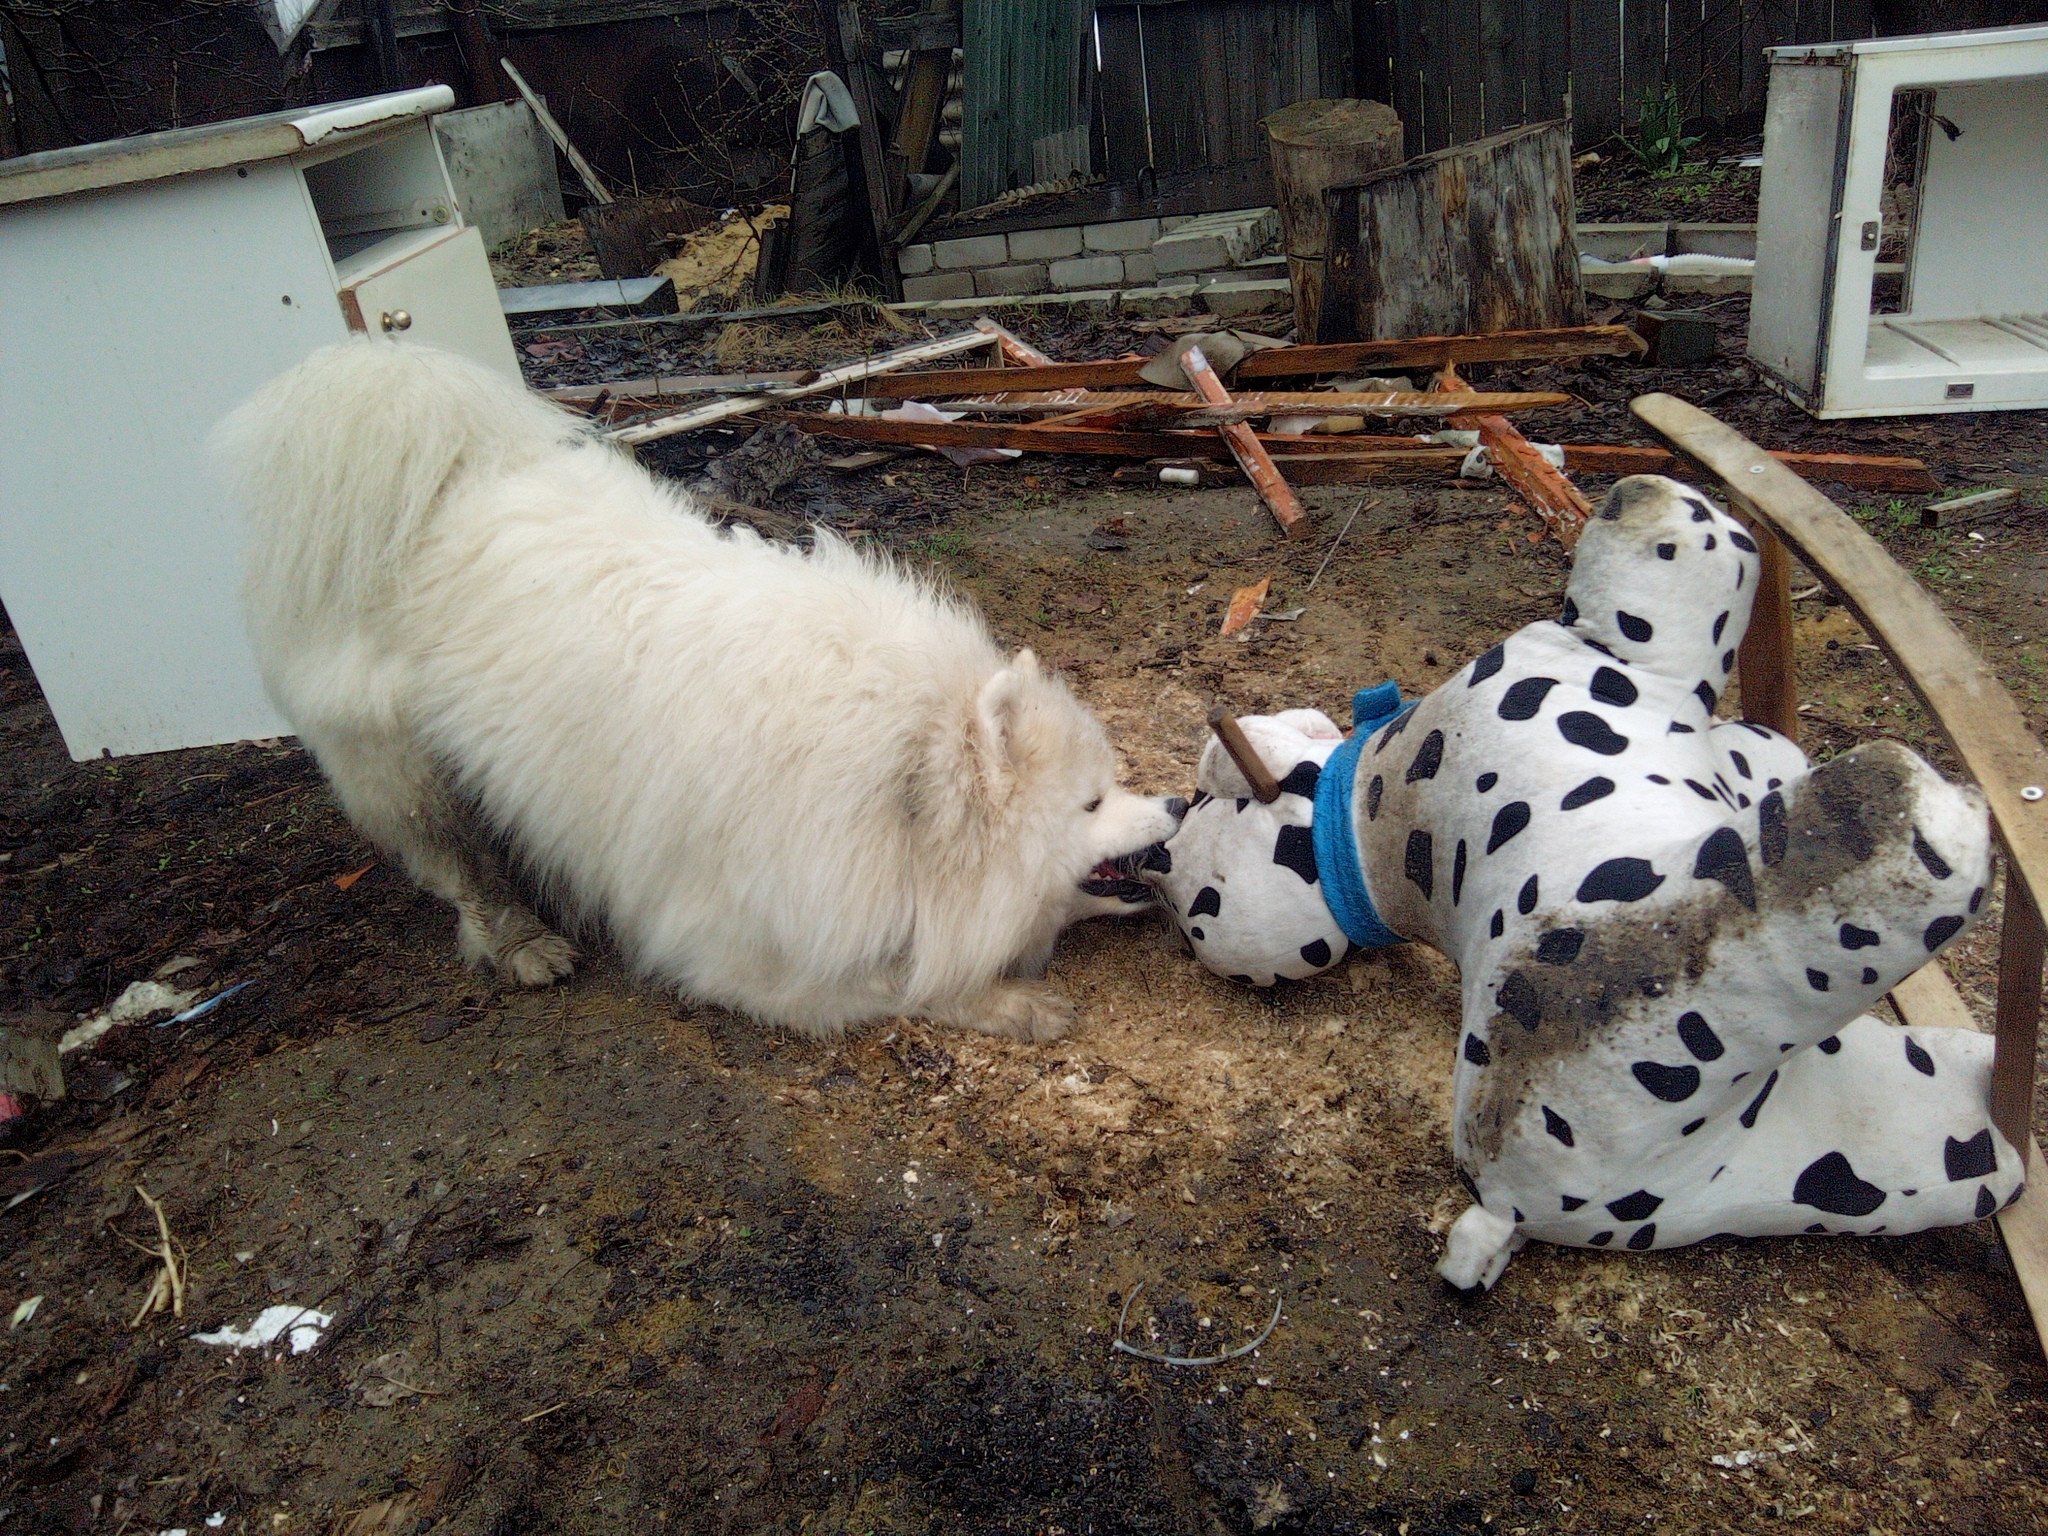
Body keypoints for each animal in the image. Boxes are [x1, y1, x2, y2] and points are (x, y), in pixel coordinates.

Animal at [214, 346, 1179, 1048]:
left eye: (1116, 784)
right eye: (1091, 803)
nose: (1176, 803)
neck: (893, 788)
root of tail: (441, 489)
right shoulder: (731, 947)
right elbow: (897, 979)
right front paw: (1007, 1001)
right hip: (406, 770)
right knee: (460, 866)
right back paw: (521, 942)